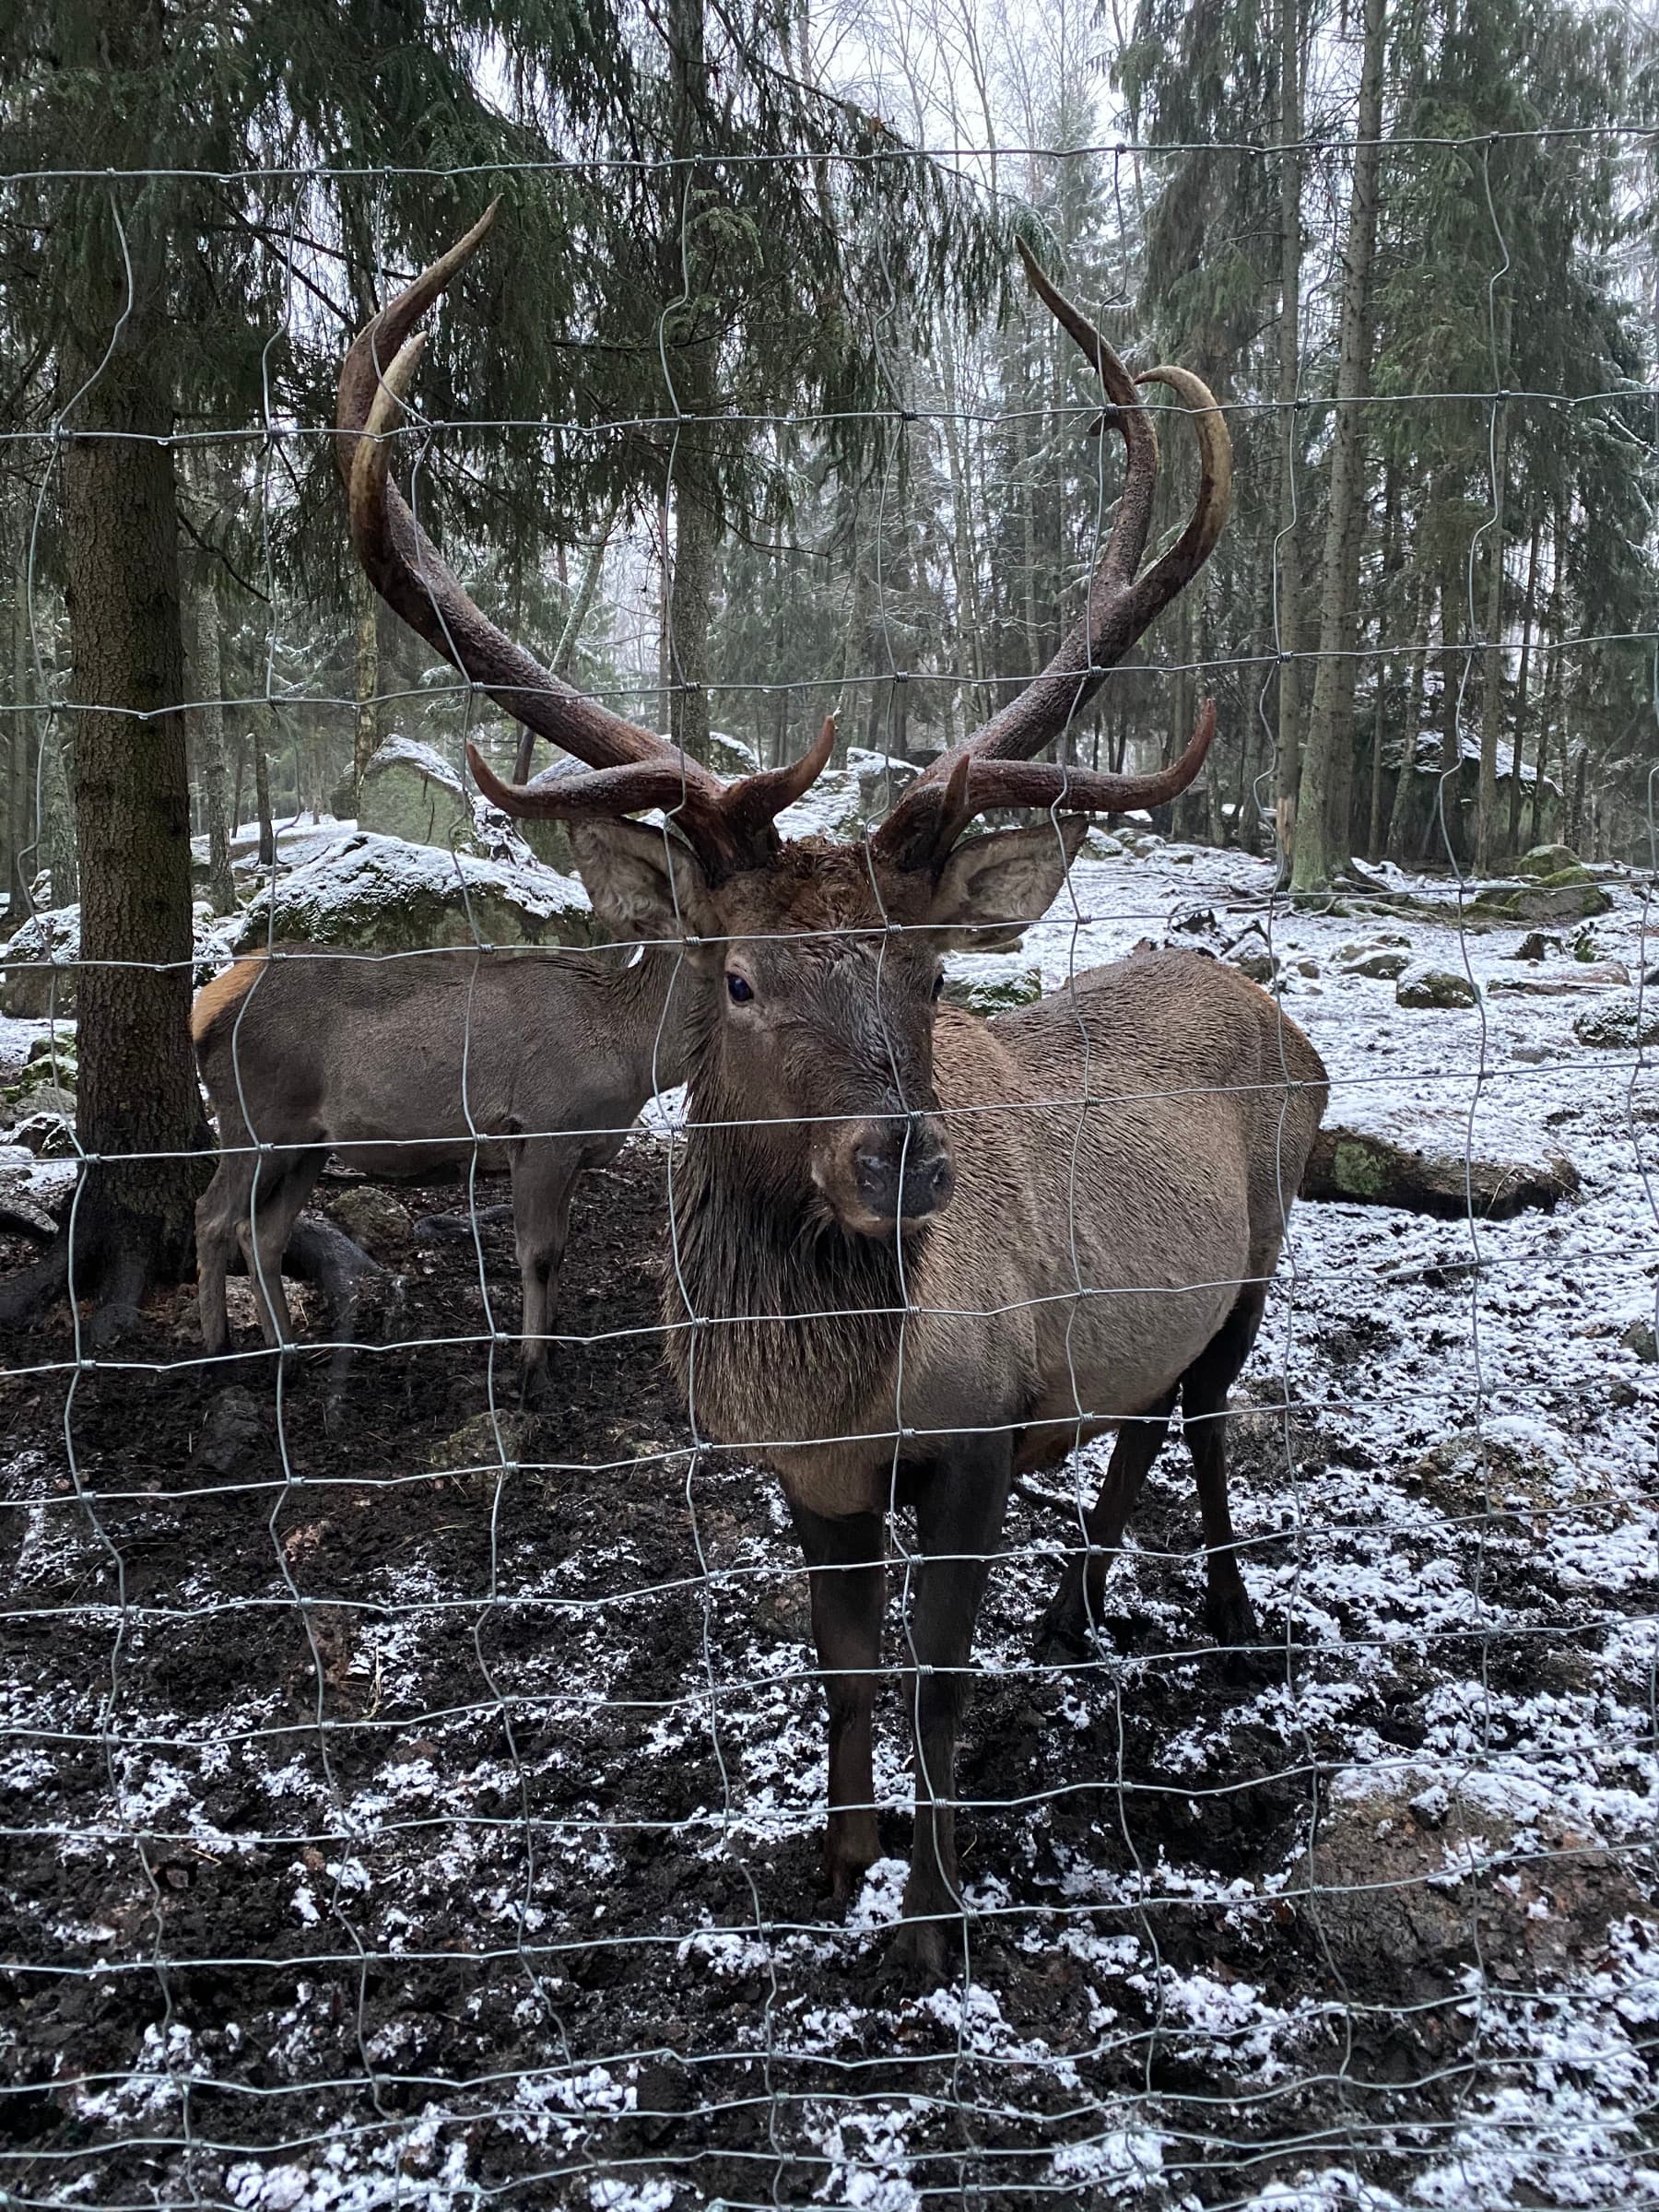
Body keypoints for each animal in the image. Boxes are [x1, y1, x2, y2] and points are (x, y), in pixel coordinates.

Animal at [191, 935, 702, 1401]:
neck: (630, 1059)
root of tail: (205, 1009)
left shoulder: (575, 1153)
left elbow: (558, 1250)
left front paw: (553, 1346)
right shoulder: (539, 1132)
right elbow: (536, 1254)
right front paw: (531, 1371)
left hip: (309, 1143)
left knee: (262, 1231)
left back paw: (287, 1356)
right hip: (258, 1120)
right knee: (212, 1215)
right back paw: (218, 1355)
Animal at [337, 205, 1329, 1977]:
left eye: (929, 974)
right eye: (736, 979)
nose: (902, 1168)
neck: (835, 1387)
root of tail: (1270, 1009)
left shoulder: (975, 1434)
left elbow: (934, 1679)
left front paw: (931, 1920)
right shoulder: (809, 1477)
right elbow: (843, 1668)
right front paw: (836, 1857)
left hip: (1267, 1245)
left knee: (1212, 1418)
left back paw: (1223, 1615)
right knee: (1147, 1413)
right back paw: (1082, 1609)